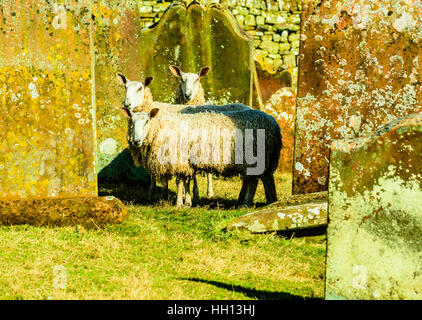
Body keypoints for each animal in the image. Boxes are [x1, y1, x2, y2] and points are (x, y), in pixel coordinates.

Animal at [118, 74, 284, 208]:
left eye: (140, 88)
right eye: (125, 87)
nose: (127, 104)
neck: (161, 123)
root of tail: (273, 122)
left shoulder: (178, 158)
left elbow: (179, 181)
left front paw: (177, 202)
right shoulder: (184, 159)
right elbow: (183, 180)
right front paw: (185, 201)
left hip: (257, 158)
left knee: (257, 180)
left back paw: (252, 202)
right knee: (261, 179)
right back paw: (263, 201)